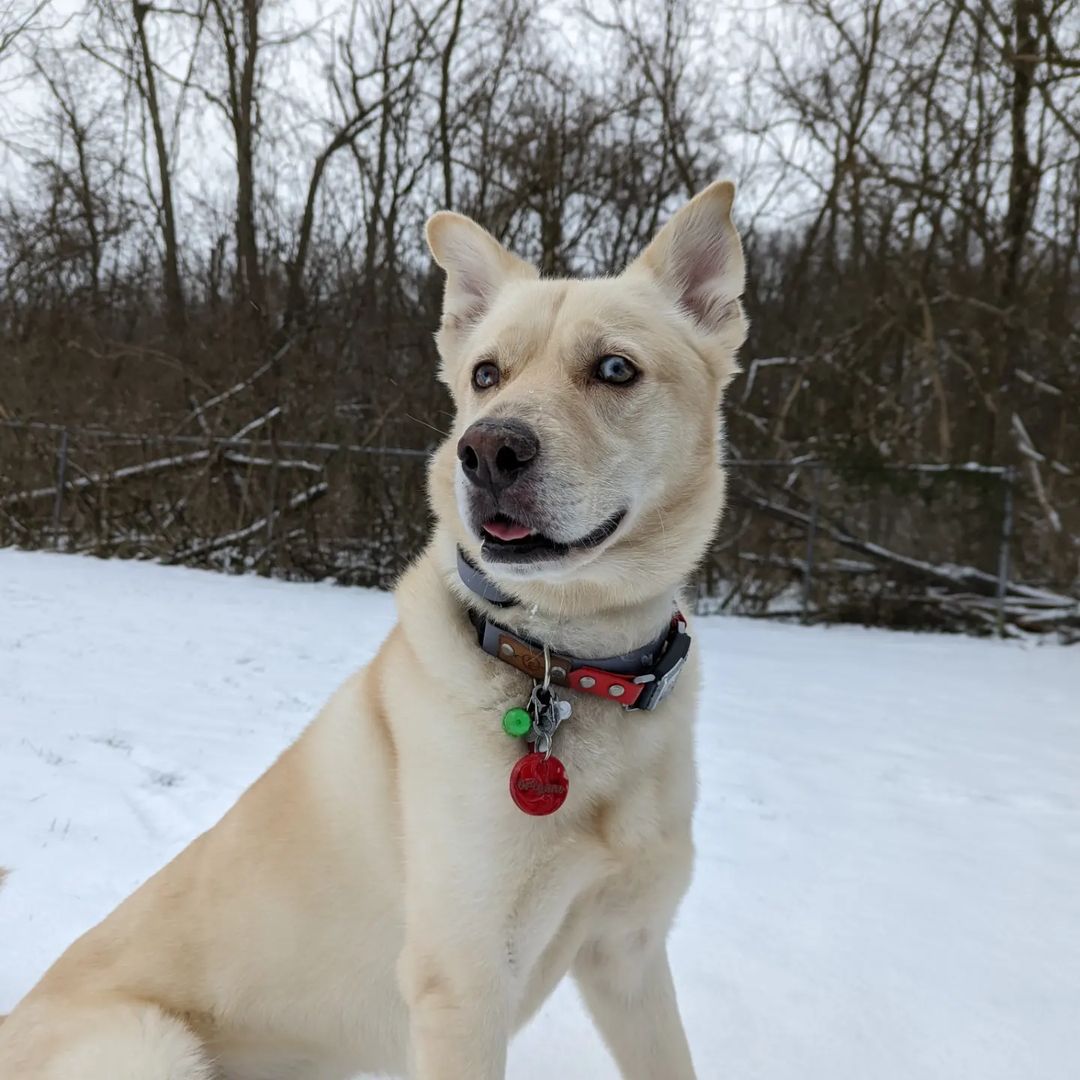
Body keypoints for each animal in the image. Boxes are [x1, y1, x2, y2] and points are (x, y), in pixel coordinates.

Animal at [0, 181, 743, 1075]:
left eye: (614, 369)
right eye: (485, 374)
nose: (486, 451)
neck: (571, 664)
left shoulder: (629, 953)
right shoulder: (461, 983)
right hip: (150, 1043)